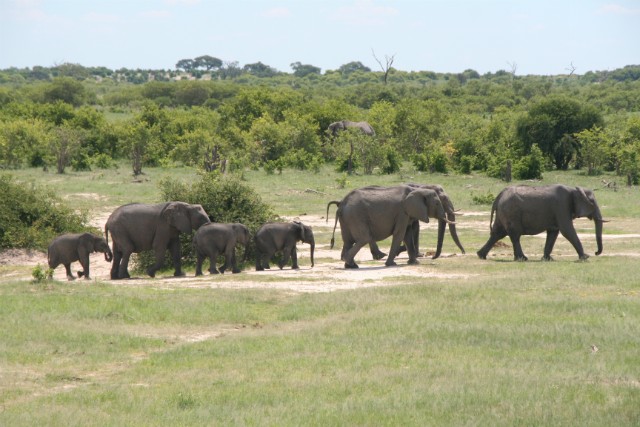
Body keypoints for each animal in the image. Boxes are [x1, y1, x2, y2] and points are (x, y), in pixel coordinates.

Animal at [476, 184, 604, 260]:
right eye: (592, 203)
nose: (596, 253)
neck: (573, 189)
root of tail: (500, 195)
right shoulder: (562, 206)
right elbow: (566, 230)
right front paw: (585, 257)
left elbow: (553, 232)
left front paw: (548, 259)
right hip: (511, 212)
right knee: (514, 235)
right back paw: (522, 259)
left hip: (503, 212)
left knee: (497, 233)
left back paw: (481, 255)